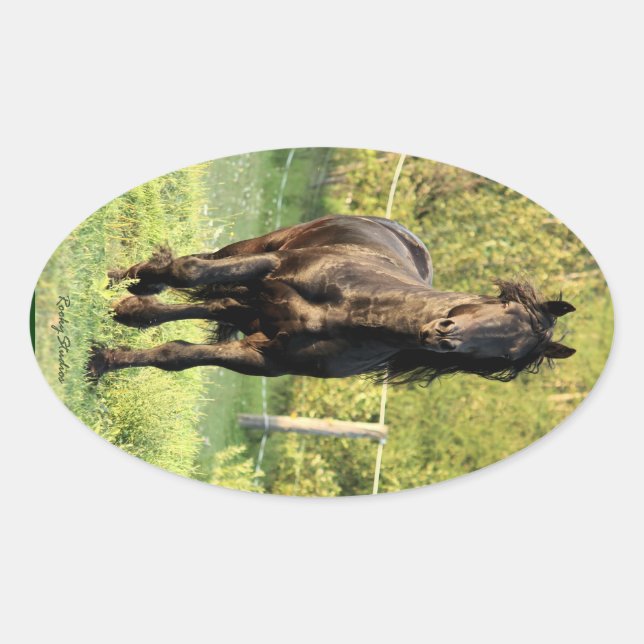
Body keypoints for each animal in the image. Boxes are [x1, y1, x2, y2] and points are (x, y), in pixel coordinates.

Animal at [87, 215, 576, 384]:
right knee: (201, 268)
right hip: (256, 251)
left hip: (253, 311)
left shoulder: (261, 357)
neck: (353, 310)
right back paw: (123, 283)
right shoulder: (265, 265)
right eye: (505, 309)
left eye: (504, 354)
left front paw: (105, 360)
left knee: (214, 305)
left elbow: (177, 356)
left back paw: (131, 311)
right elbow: (187, 271)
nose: (442, 338)